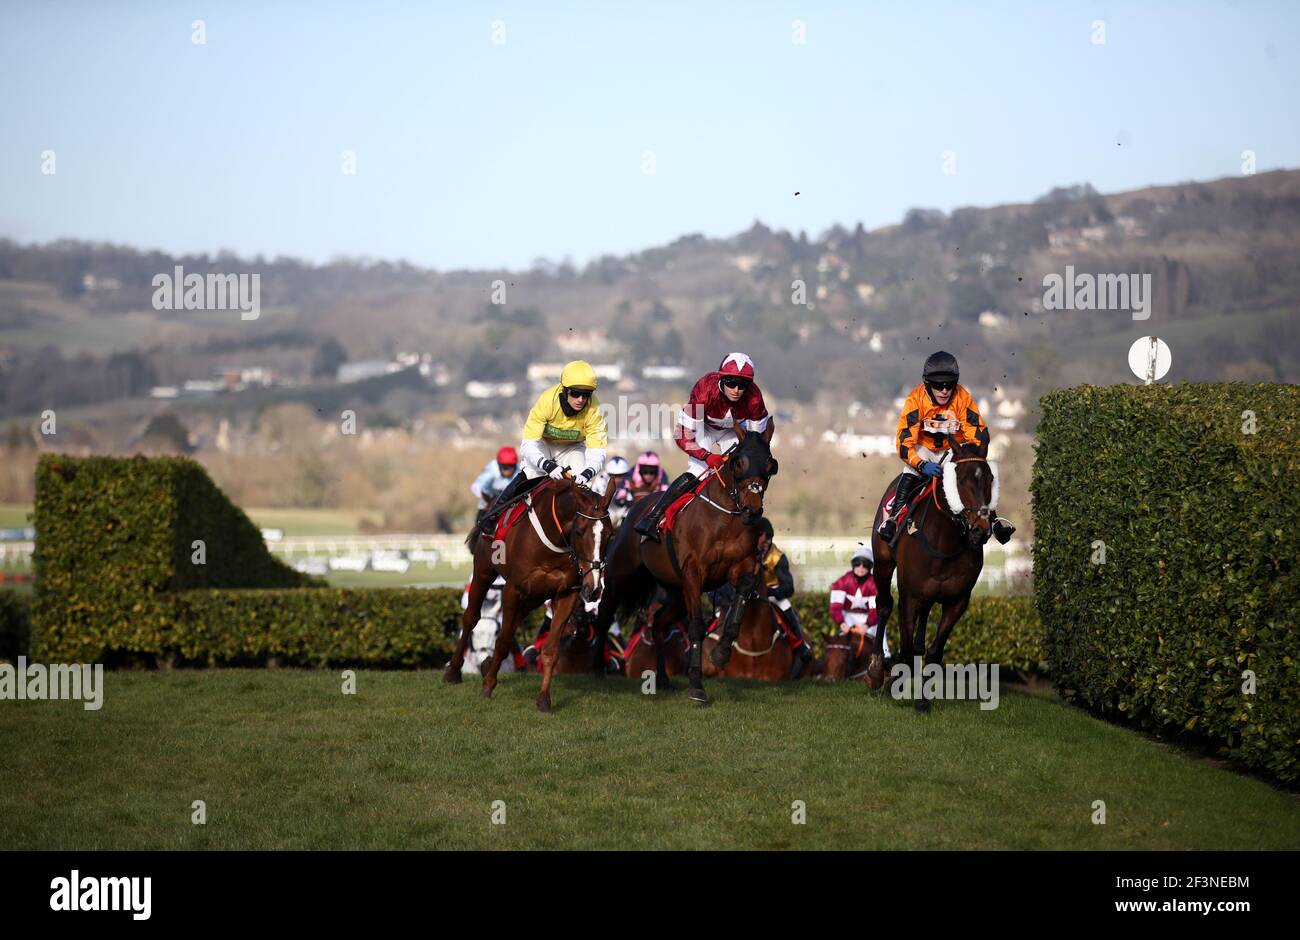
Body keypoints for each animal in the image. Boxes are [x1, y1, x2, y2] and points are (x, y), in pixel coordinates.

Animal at [444, 478, 616, 712]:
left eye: (610, 534)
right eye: (579, 531)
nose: (594, 588)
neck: (554, 540)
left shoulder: (566, 593)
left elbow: (551, 649)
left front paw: (543, 699)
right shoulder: (512, 589)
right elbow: (503, 640)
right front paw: (488, 686)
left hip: (534, 596)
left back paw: (487, 665)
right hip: (483, 571)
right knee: (471, 618)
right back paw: (454, 671)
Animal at [595, 426, 774, 707]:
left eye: (769, 465)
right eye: (738, 463)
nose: (752, 511)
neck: (725, 520)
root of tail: (632, 512)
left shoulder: (742, 567)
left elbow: (739, 605)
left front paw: (721, 653)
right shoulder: (693, 574)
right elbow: (696, 627)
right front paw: (696, 686)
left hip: (675, 593)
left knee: (658, 624)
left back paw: (663, 679)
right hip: (620, 579)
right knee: (603, 615)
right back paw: (597, 670)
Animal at [868, 442, 998, 712]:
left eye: (990, 479)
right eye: (960, 480)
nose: (981, 530)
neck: (944, 542)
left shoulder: (957, 601)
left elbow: (934, 651)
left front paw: (922, 700)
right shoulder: (909, 597)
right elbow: (907, 650)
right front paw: (894, 681)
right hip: (883, 564)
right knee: (884, 605)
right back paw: (875, 671)